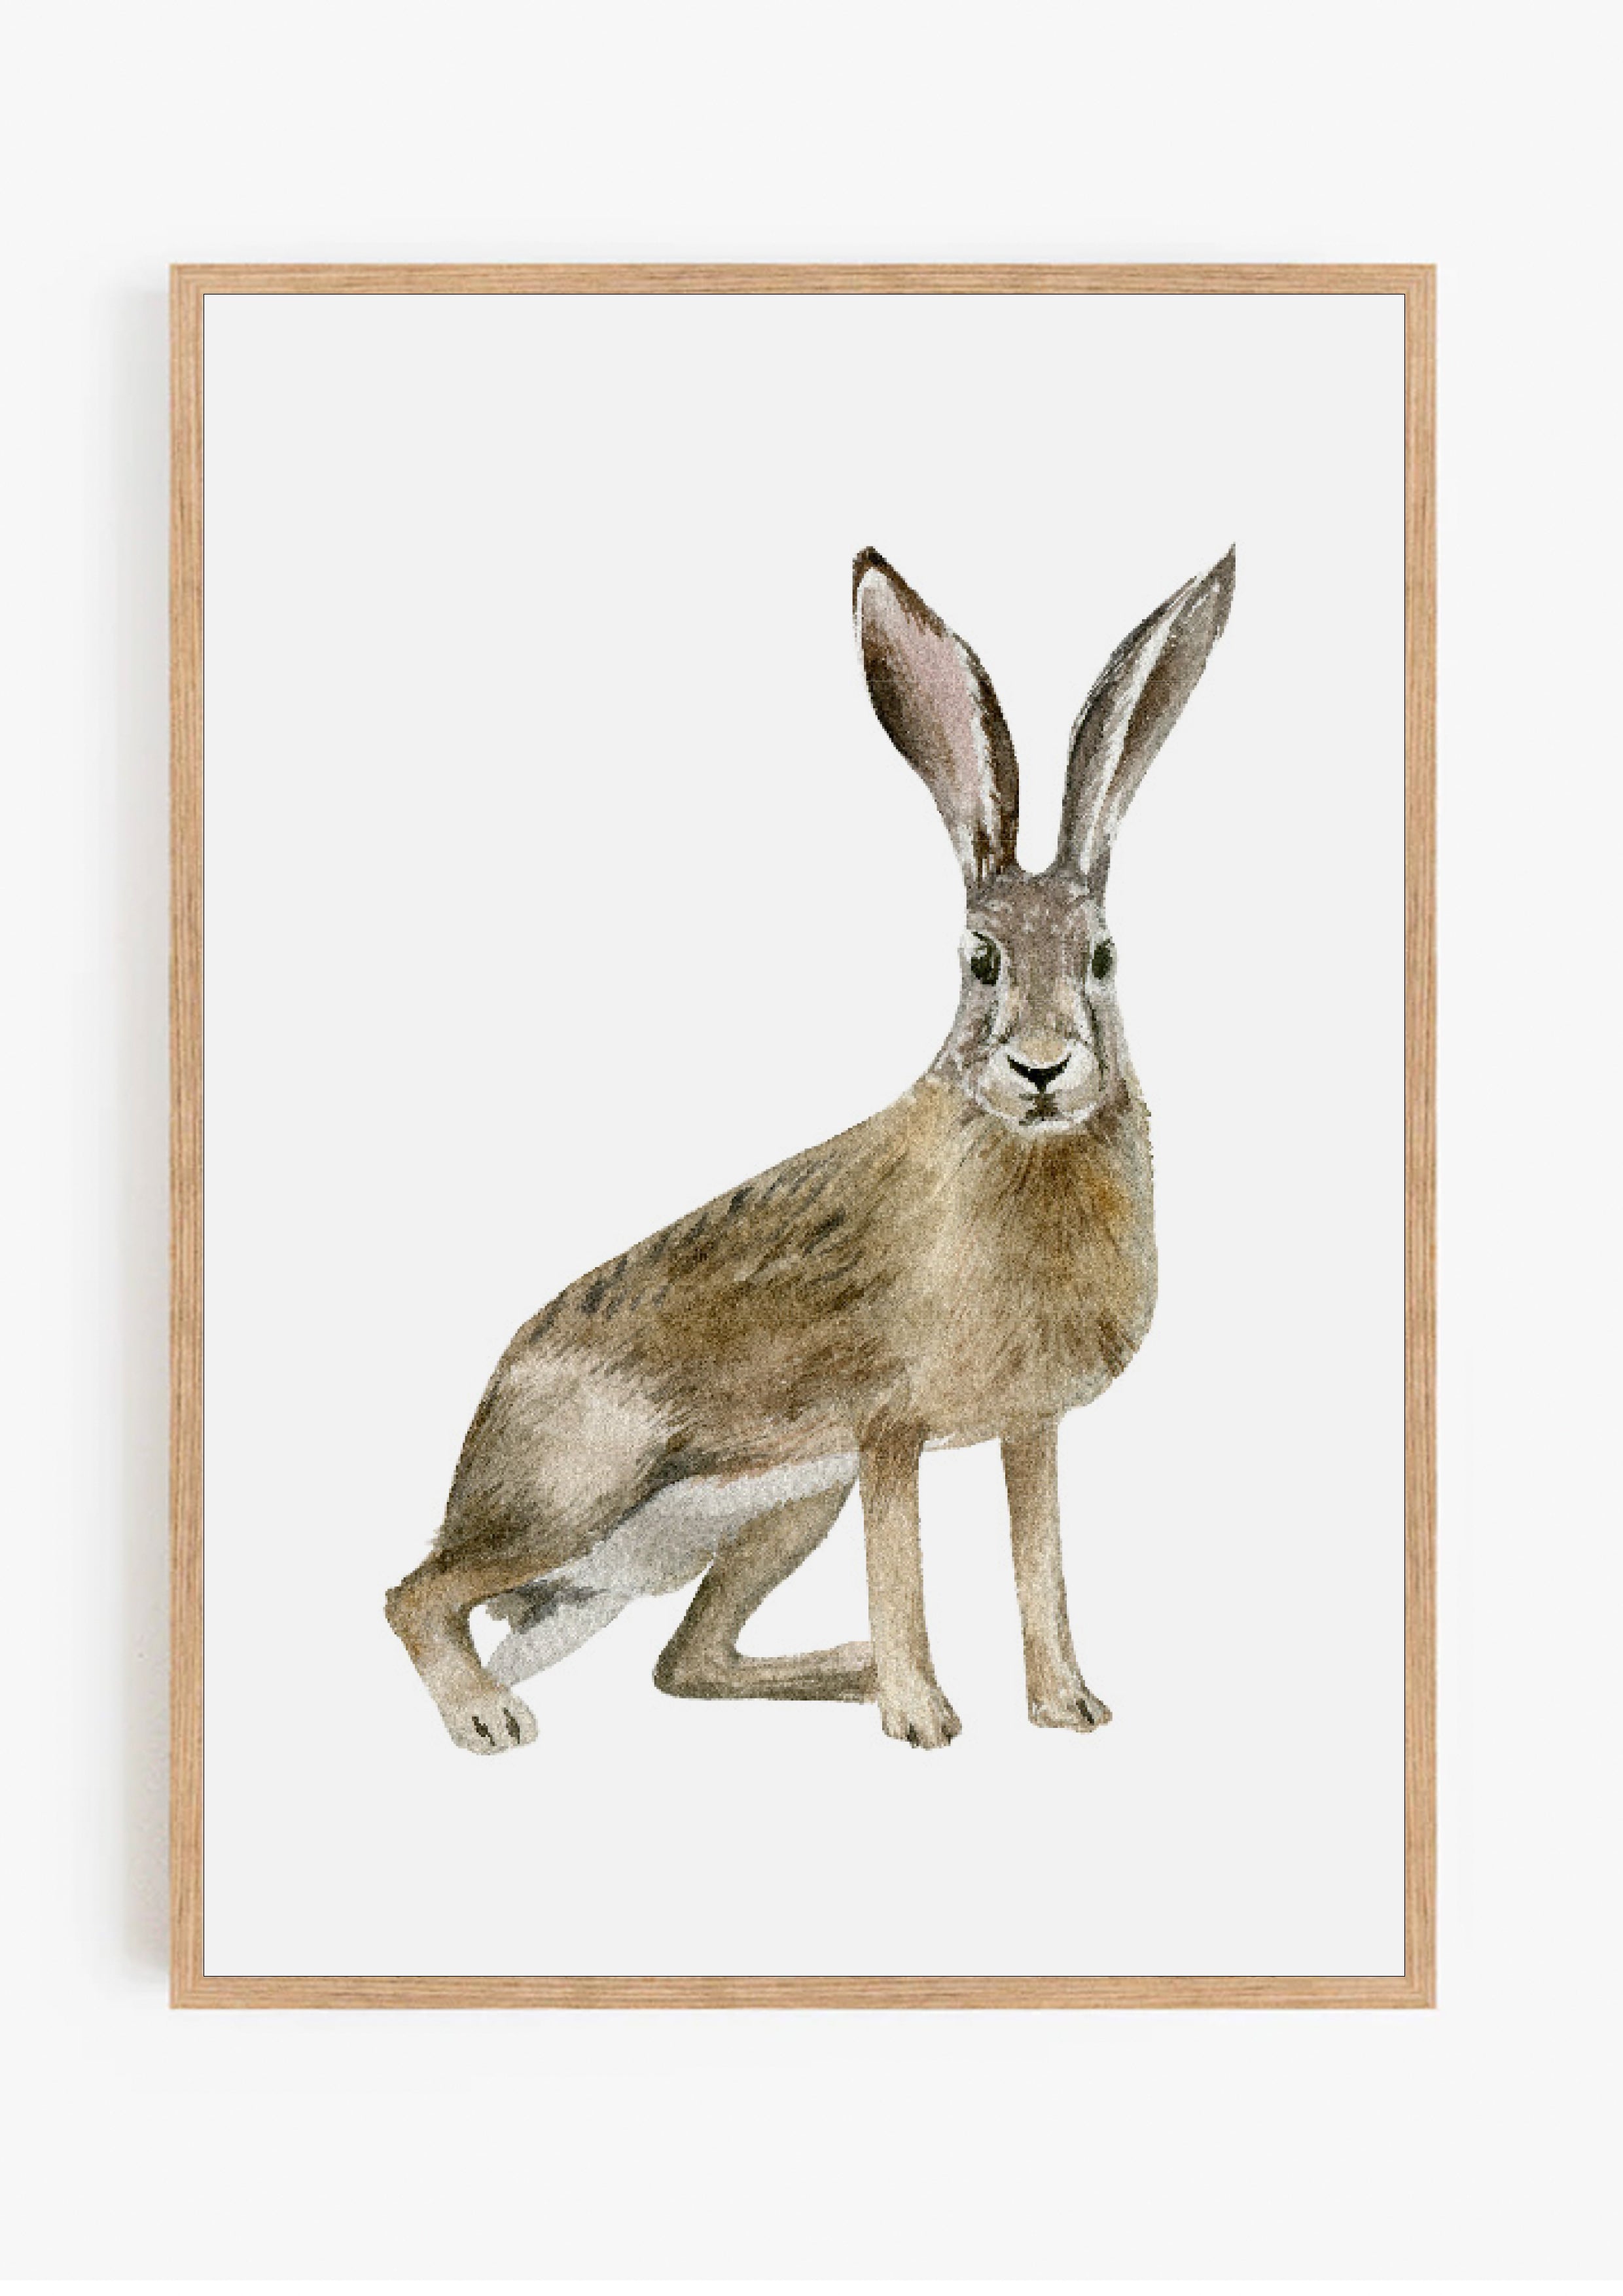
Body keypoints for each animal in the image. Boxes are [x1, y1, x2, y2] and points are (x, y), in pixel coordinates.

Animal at [386, 545, 1235, 1753]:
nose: (1040, 1067)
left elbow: (1039, 1559)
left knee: (683, 1659)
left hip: (785, 1504)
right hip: (584, 1492)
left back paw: (846, 1667)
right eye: (979, 959)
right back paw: (488, 1716)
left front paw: (1068, 1707)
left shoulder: (1026, 1429)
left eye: (1104, 958)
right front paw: (926, 1723)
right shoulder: (888, 1430)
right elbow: (904, 1567)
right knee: (417, 1592)